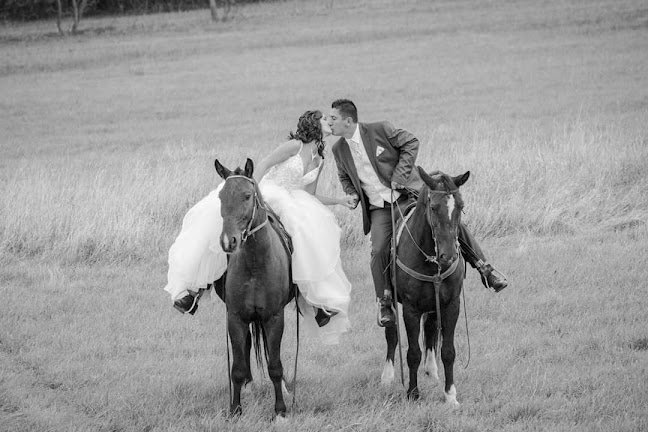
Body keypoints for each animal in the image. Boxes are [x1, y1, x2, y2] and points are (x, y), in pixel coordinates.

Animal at [215, 157, 294, 416]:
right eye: (221, 196)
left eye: (247, 195)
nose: (228, 241)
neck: (255, 264)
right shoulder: (235, 317)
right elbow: (237, 367)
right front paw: (235, 409)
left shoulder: (274, 317)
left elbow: (275, 365)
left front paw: (280, 410)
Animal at [382, 167, 468, 406]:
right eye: (433, 207)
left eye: (461, 206)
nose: (448, 256)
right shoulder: (410, 309)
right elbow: (412, 352)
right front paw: (412, 393)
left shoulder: (451, 305)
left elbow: (448, 351)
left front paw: (450, 395)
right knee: (391, 334)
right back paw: (387, 375)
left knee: (430, 329)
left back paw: (432, 371)